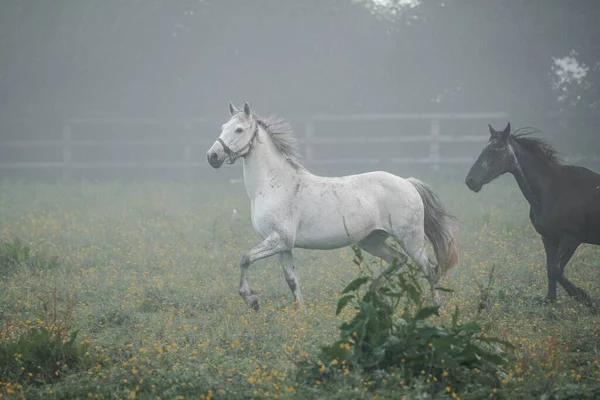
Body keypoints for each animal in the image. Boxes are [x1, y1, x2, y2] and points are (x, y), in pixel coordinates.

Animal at [206, 101, 460, 310]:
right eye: (223, 127)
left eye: (239, 130)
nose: (212, 156)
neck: (273, 184)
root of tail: (408, 183)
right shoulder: (282, 245)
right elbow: (291, 280)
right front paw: (300, 313)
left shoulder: (279, 239)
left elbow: (245, 259)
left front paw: (252, 300)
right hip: (372, 240)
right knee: (398, 260)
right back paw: (372, 295)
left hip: (411, 239)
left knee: (429, 268)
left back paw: (436, 309)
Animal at [464, 123, 600, 308]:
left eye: (494, 150)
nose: (470, 181)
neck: (552, 190)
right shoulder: (548, 237)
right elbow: (550, 269)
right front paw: (551, 301)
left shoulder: (572, 237)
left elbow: (556, 270)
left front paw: (585, 299)